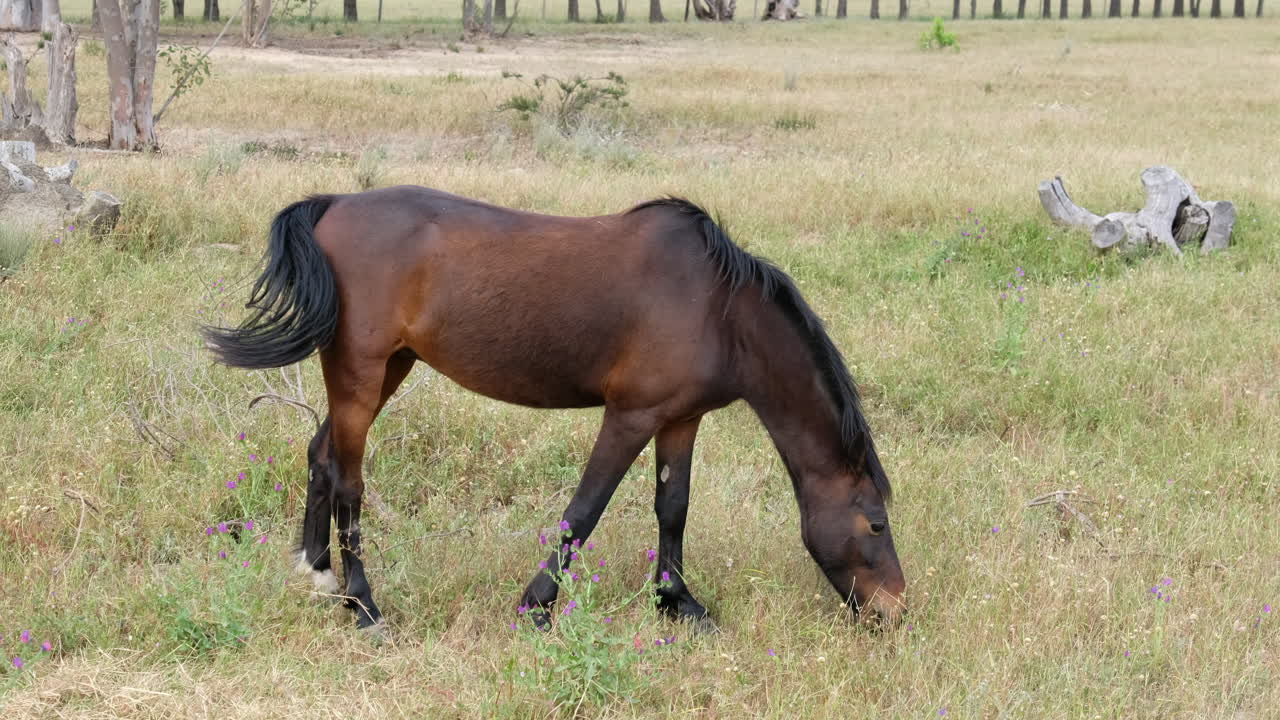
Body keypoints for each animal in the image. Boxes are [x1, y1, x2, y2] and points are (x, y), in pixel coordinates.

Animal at [201, 185, 906, 631]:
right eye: (875, 524)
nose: (896, 611)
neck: (720, 309)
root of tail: (335, 205)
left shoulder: (680, 418)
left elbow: (672, 506)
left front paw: (677, 601)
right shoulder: (630, 415)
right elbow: (584, 511)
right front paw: (536, 606)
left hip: (387, 370)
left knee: (321, 452)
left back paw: (318, 571)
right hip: (360, 371)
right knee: (349, 480)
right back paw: (365, 606)